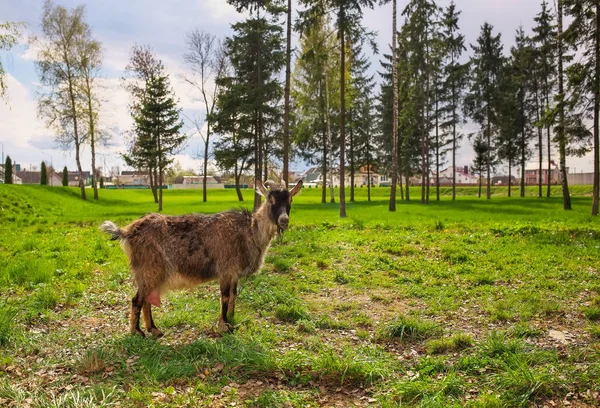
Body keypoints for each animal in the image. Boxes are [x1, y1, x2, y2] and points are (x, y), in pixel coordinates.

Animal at [101, 180, 304, 336]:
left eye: (290, 199)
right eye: (271, 199)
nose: (284, 220)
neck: (249, 232)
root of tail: (127, 231)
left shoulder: (234, 274)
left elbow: (234, 295)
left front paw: (231, 318)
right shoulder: (226, 270)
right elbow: (225, 297)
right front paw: (224, 326)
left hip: (150, 272)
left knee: (146, 300)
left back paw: (154, 329)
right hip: (149, 268)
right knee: (137, 299)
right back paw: (137, 331)